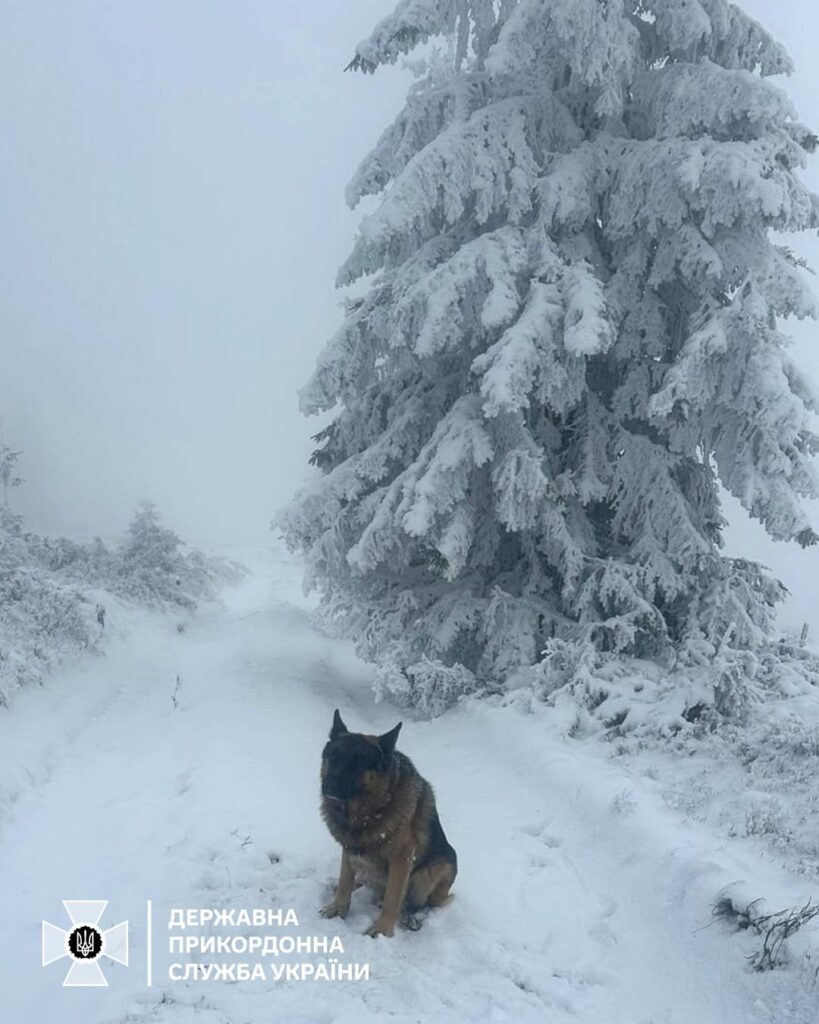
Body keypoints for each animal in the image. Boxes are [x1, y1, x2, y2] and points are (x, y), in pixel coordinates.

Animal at [319, 712, 456, 937]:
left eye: (358, 764)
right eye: (333, 757)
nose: (328, 787)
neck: (368, 813)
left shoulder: (402, 855)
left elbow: (394, 895)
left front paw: (382, 929)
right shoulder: (350, 847)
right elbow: (345, 879)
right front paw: (338, 907)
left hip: (433, 871)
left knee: (420, 903)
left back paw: (411, 918)